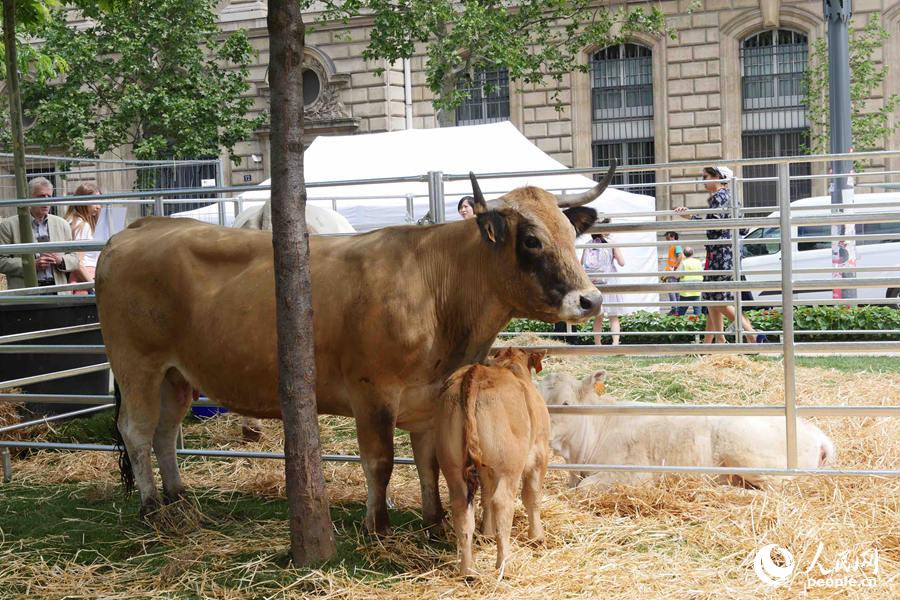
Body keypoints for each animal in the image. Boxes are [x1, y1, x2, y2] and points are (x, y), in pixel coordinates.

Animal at [98, 165, 616, 536]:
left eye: (570, 234)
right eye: (531, 240)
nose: (591, 299)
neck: (438, 287)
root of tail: (139, 227)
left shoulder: (426, 398)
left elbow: (426, 462)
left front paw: (434, 521)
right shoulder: (373, 393)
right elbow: (380, 462)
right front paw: (377, 525)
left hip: (176, 375)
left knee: (165, 432)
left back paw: (178, 496)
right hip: (136, 364)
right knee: (137, 431)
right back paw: (151, 506)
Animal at [436, 346, 548, 576]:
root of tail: (477, 372)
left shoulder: (486, 469)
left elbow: (485, 496)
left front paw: (486, 533)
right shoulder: (539, 456)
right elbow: (532, 496)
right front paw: (537, 537)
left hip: (452, 465)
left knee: (462, 506)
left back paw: (469, 571)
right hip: (509, 467)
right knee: (502, 502)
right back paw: (504, 563)